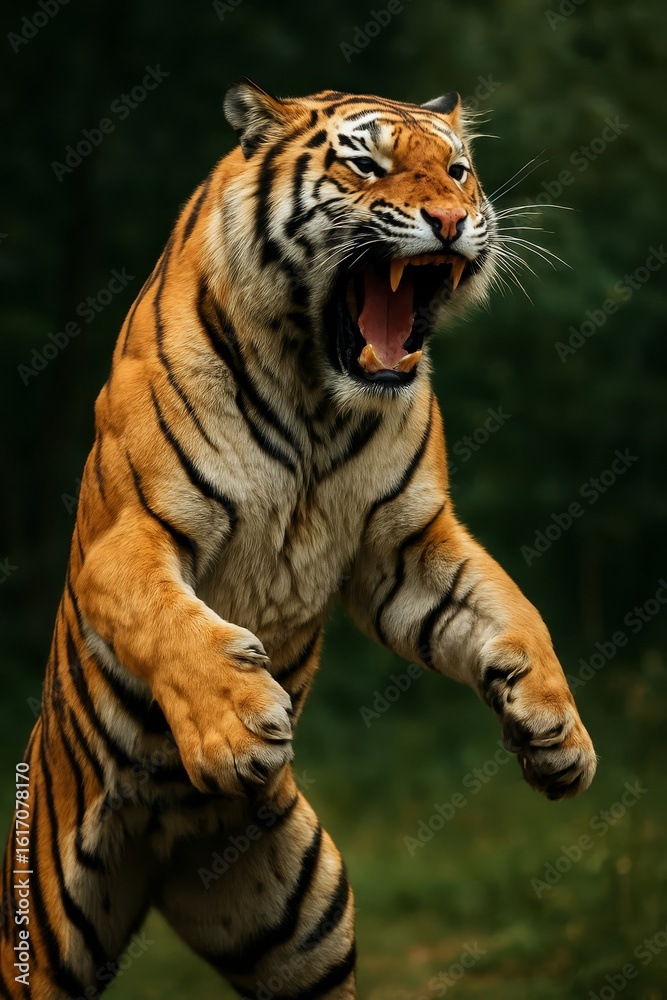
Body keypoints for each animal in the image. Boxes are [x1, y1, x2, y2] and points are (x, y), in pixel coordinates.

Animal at [1, 81, 597, 999]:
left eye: (457, 170)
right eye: (366, 165)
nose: (452, 220)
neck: (321, 395)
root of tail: (160, 854)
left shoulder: (405, 548)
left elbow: (511, 609)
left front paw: (558, 735)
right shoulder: (131, 532)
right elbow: (168, 621)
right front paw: (238, 727)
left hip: (305, 928)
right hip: (40, 940)